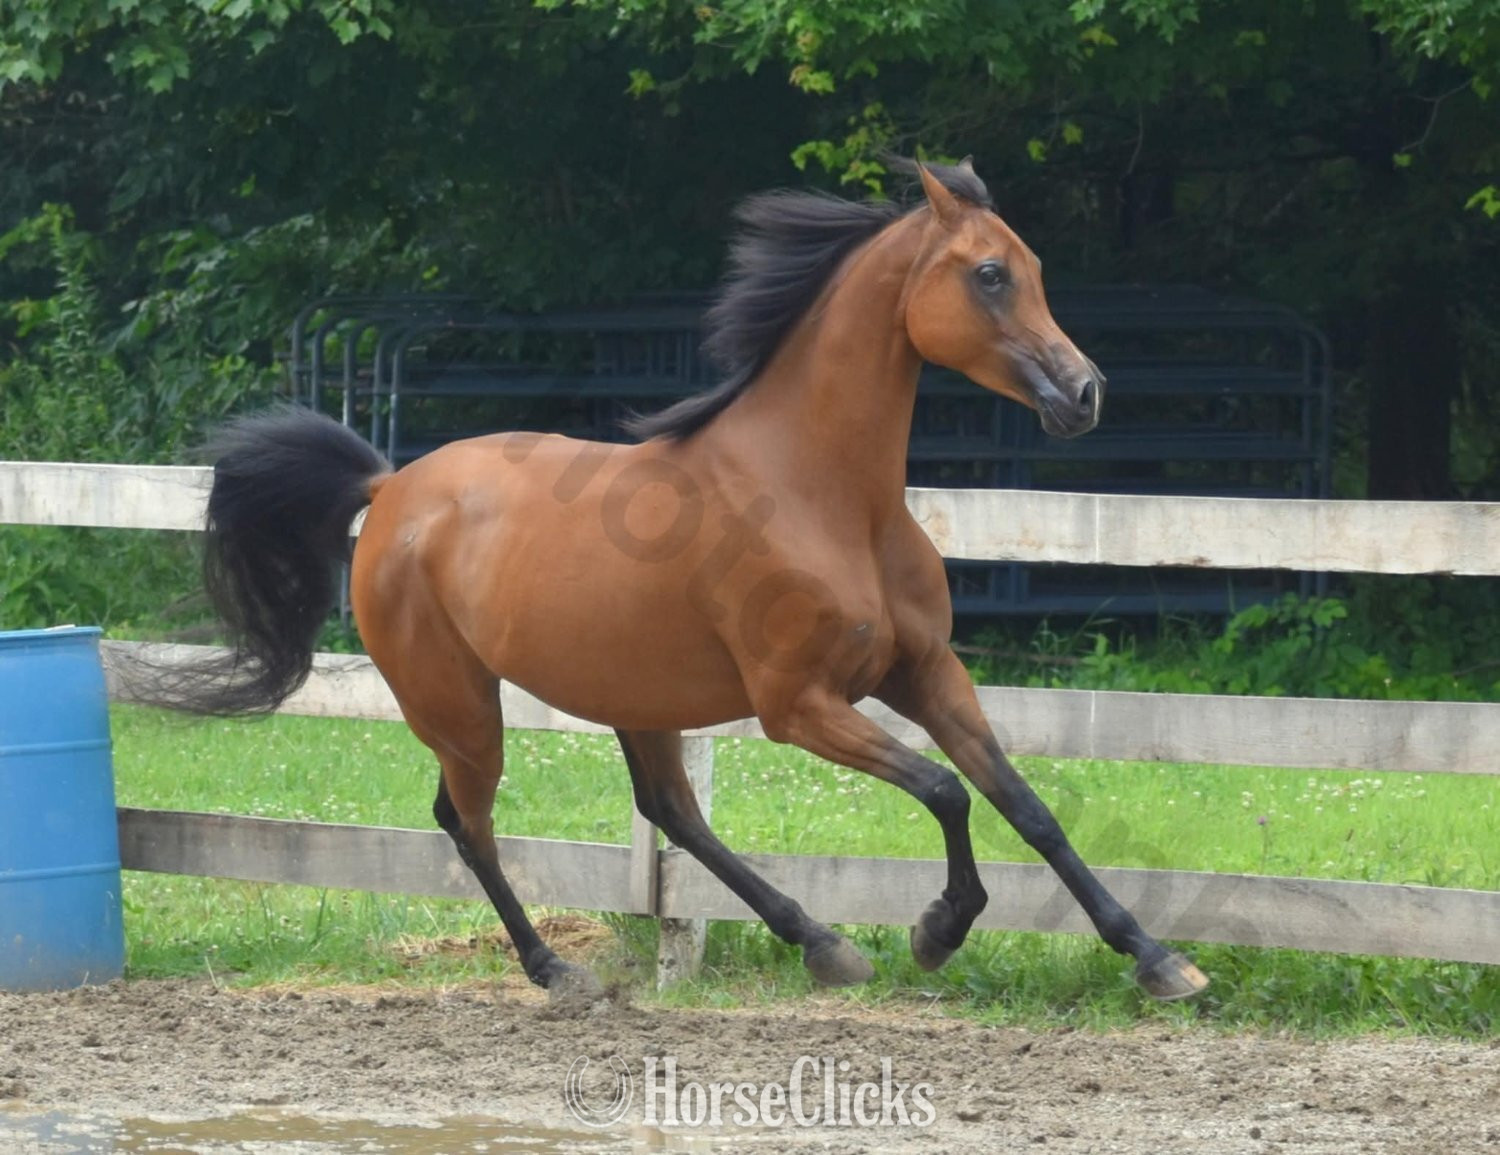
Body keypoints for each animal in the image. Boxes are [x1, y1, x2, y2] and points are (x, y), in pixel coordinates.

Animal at [151, 160, 1207, 1002]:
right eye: (989, 274)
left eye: (1034, 270)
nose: (1084, 394)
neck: (824, 496)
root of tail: (392, 486)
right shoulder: (800, 705)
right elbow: (948, 792)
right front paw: (937, 930)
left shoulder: (928, 672)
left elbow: (1026, 806)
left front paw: (1160, 960)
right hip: (457, 704)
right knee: (468, 819)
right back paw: (559, 969)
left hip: (633, 695)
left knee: (669, 811)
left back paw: (818, 940)